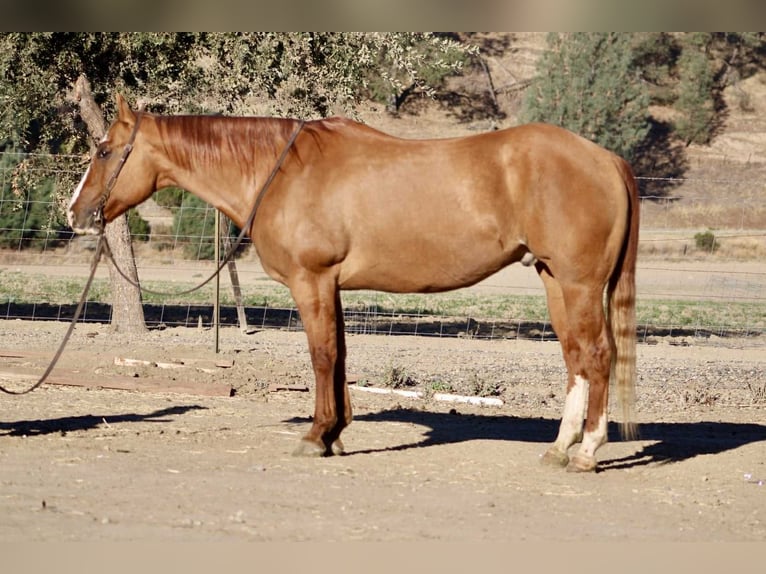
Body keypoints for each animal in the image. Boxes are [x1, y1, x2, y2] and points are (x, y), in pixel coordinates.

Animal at [68, 94, 639, 472]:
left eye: (103, 150)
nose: (75, 213)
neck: (283, 172)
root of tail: (606, 158)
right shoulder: (331, 286)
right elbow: (339, 355)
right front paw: (336, 434)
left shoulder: (311, 281)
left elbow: (322, 356)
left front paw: (316, 435)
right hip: (556, 281)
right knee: (575, 358)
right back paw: (560, 448)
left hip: (579, 284)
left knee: (596, 356)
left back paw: (588, 451)